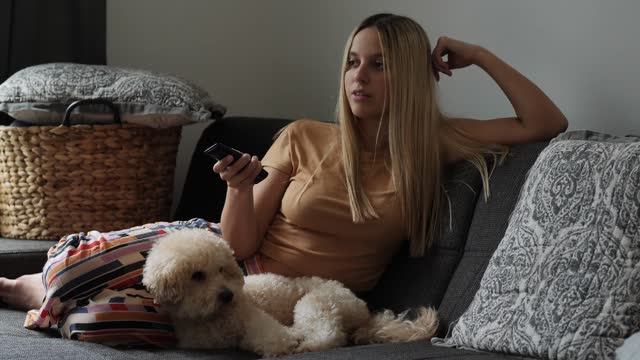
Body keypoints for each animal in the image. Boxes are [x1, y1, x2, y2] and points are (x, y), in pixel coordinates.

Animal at [142, 229, 438, 356]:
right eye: (197, 275)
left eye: (222, 269)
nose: (228, 295)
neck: (212, 318)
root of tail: (364, 312)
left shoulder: (257, 322)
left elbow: (276, 340)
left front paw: (290, 341)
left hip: (316, 303)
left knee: (331, 335)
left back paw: (305, 343)